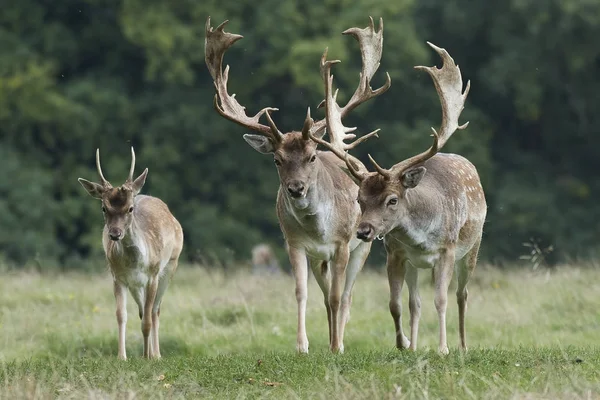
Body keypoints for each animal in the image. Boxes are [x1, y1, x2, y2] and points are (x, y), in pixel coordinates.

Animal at [78, 147, 184, 360]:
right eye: (104, 208)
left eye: (130, 208)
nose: (114, 233)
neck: (134, 262)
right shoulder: (118, 277)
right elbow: (121, 315)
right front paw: (122, 356)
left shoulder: (152, 275)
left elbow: (148, 319)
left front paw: (147, 357)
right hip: (136, 284)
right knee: (143, 310)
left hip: (170, 266)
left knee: (155, 311)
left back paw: (156, 354)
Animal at [204, 16, 392, 354]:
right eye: (277, 159)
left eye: (312, 156)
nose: (296, 188)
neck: (319, 230)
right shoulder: (294, 244)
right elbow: (302, 293)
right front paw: (302, 345)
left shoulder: (342, 244)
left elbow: (338, 296)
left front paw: (336, 346)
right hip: (320, 259)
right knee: (327, 296)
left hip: (364, 246)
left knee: (346, 297)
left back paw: (339, 341)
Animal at [314, 41, 488, 354]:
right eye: (359, 199)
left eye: (392, 199)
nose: (364, 231)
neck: (421, 236)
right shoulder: (395, 254)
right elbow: (396, 304)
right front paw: (403, 344)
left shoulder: (447, 251)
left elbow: (441, 300)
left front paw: (443, 349)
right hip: (415, 266)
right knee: (414, 303)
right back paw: (417, 344)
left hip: (473, 246)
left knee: (462, 294)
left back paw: (463, 345)